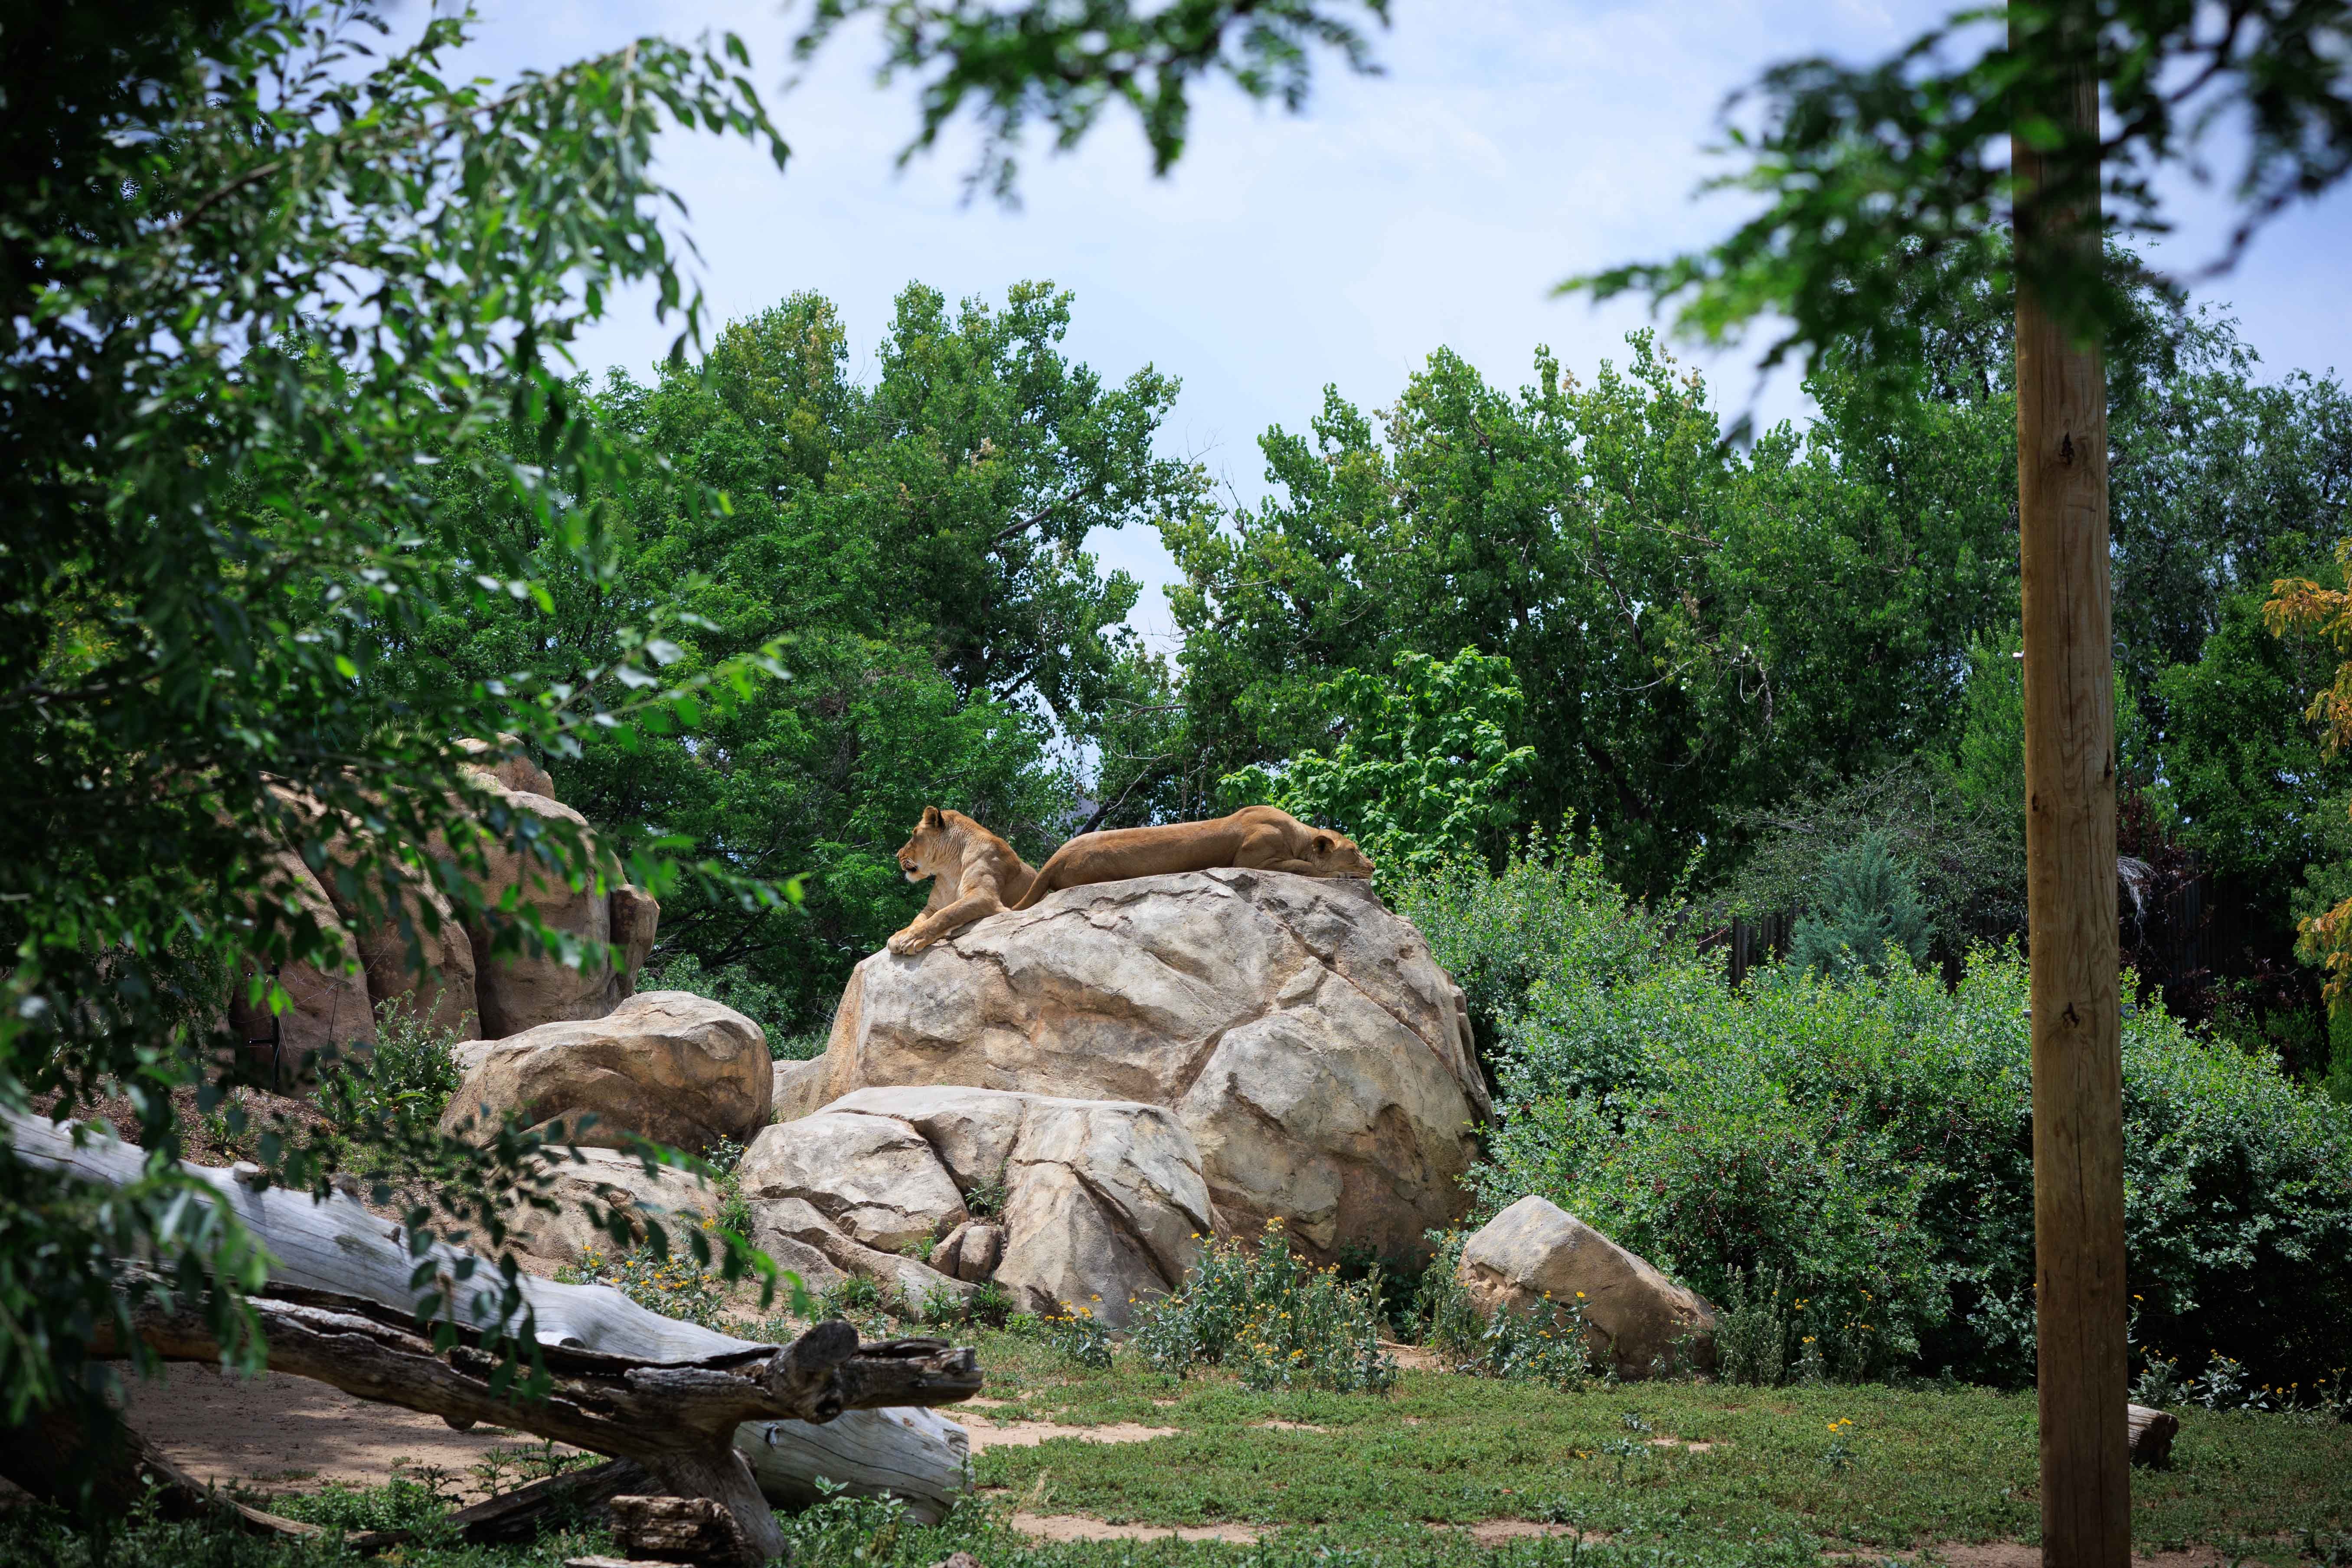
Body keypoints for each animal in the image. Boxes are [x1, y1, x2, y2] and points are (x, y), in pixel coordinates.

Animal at [886, 806, 1040, 956]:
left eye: (914, 834)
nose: (897, 855)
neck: (949, 869)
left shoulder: (984, 896)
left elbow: (946, 914)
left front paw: (912, 939)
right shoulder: (934, 905)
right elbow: (919, 919)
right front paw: (900, 935)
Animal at [1007, 805, 1375, 911]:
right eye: (1355, 851)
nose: (1373, 866)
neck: (1298, 836)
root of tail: (1056, 856)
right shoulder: (1252, 859)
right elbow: (1306, 867)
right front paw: (1341, 875)